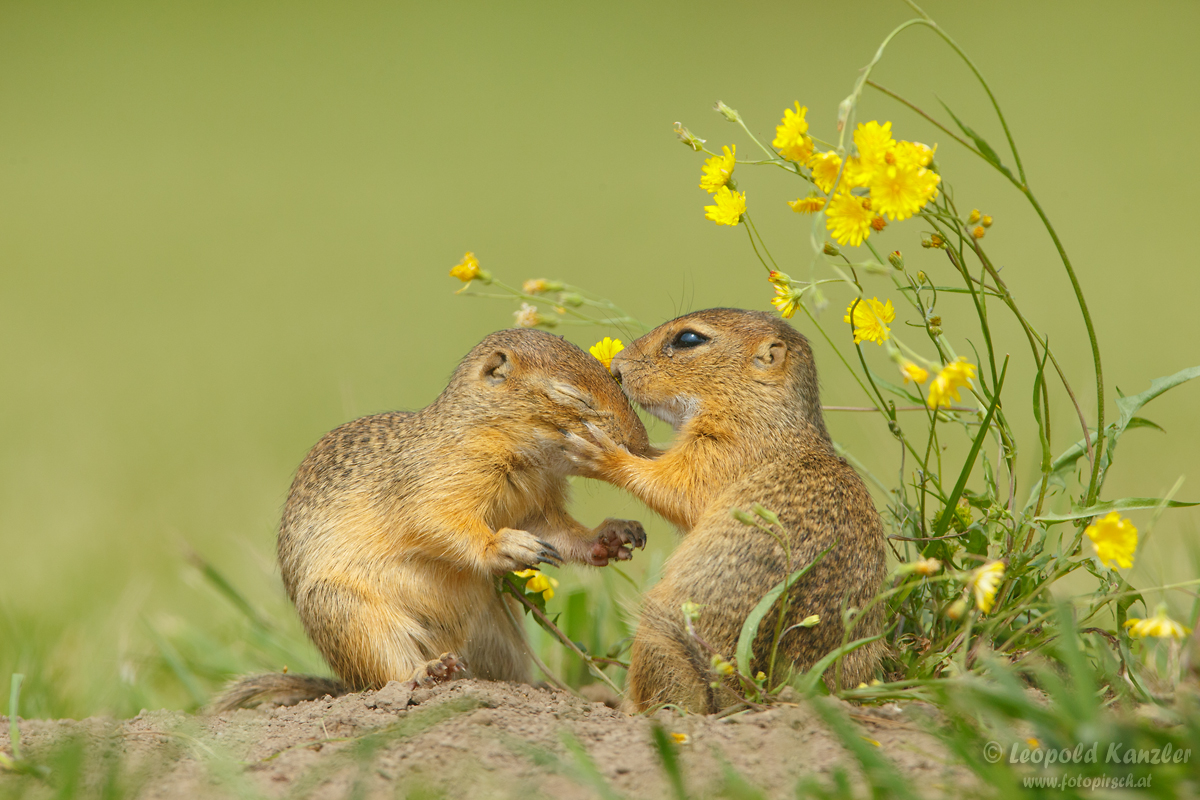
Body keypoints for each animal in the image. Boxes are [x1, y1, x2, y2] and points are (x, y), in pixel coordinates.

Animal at [211, 328, 652, 710]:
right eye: (570, 395)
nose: (642, 446)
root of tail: (345, 686)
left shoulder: (537, 507)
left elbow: (560, 533)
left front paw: (613, 536)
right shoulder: (435, 485)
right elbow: (439, 522)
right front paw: (506, 545)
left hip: (501, 633)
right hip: (352, 618)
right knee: (387, 674)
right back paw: (430, 671)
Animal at [566, 307, 888, 714]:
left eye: (688, 339)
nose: (617, 368)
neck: (762, 409)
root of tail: (750, 694)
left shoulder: (722, 452)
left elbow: (673, 484)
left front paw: (599, 449)